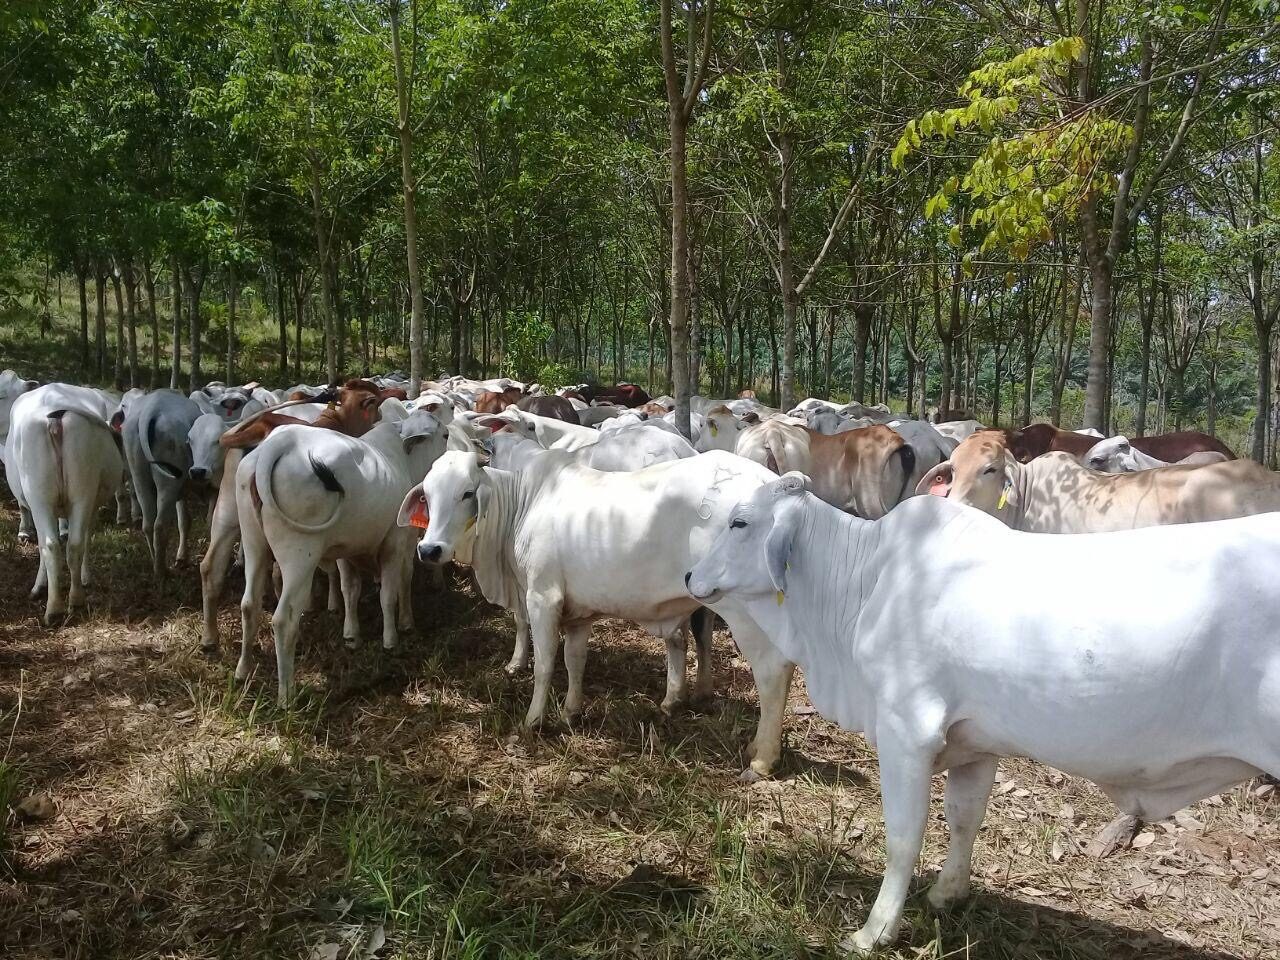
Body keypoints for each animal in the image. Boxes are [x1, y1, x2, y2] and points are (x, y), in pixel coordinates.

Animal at [4, 384, 124, 623]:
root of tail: (55, 410)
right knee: (73, 543)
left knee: (52, 544)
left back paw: (55, 607)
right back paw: (74, 601)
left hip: (40, 494)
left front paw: (40, 585)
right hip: (81, 490)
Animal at [122, 390, 202, 577]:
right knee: (160, 525)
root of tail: (150, 410)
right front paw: (182, 558)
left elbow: (184, 521)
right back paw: (161, 572)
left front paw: (181, 557)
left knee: (148, 524)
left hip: (138, 472)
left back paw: (155, 562)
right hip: (170, 477)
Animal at [235, 405, 447, 703]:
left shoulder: (347, 551)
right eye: (445, 435)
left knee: (249, 605)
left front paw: (351, 635)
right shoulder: (396, 544)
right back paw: (286, 693)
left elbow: (350, 590)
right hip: (299, 556)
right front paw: (394, 635)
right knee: (283, 618)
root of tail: (276, 446)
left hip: (254, 545)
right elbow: (392, 591)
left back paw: (243, 669)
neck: (402, 459)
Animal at [685, 474, 1280, 954]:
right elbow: (964, 817)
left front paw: (874, 931)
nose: (690, 576)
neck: (866, 580)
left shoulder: (907, 730)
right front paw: (947, 894)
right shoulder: (976, 741)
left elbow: (903, 836)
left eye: (740, 521)